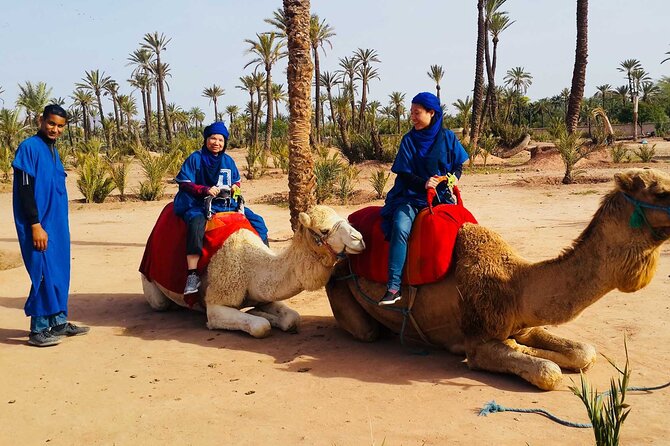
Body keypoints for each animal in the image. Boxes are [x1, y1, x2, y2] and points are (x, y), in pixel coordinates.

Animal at [142, 205, 365, 338]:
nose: (359, 239)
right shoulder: (216, 303)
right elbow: (260, 327)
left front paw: (260, 313)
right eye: (324, 230)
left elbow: (292, 319)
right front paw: (261, 318)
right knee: (161, 303)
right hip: (151, 282)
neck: (251, 268)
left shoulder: (263, 294)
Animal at [326, 168, 670, 390]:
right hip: (341, 289)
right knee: (368, 331)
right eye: (661, 192)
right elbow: (548, 372)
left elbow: (584, 352)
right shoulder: (479, 341)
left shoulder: (526, 324)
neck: (516, 284)